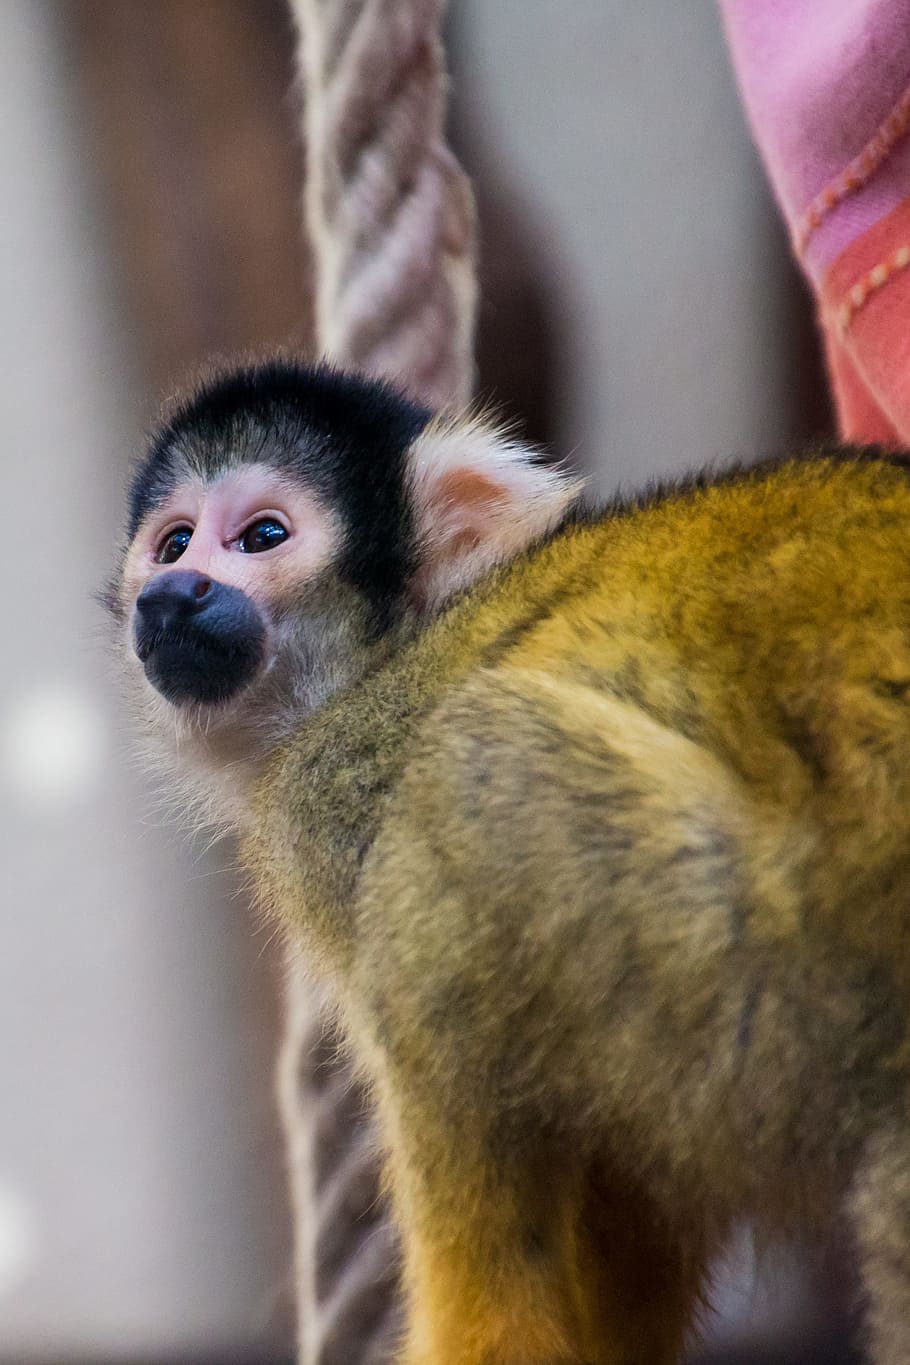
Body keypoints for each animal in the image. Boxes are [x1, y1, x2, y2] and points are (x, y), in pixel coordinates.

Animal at [108, 356, 910, 1365]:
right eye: (173, 544)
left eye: (261, 537)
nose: (171, 595)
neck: (380, 659)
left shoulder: (334, 786)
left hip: (774, 962)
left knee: (463, 778)